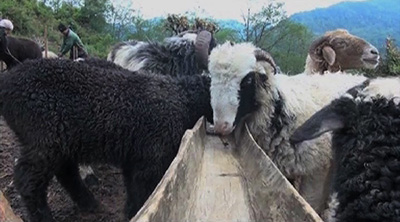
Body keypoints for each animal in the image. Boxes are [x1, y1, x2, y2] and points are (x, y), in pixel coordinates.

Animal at [0, 57, 212, 222]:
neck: (183, 99)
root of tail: (8, 83)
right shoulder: (152, 157)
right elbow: (145, 190)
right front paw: (138, 212)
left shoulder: (134, 157)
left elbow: (132, 187)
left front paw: (131, 211)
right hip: (43, 137)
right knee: (28, 181)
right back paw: (46, 216)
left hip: (61, 140)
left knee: (65, 171)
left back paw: (89, 202)